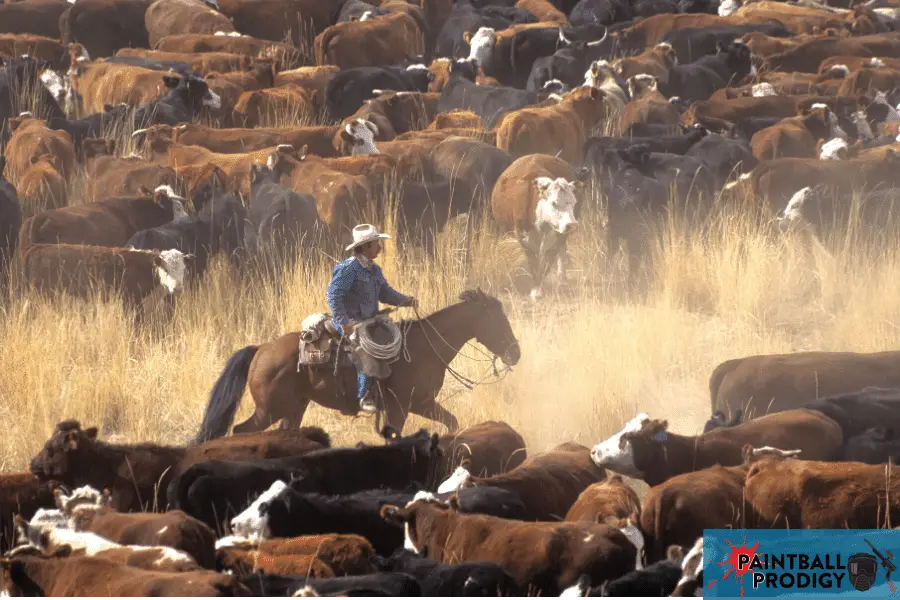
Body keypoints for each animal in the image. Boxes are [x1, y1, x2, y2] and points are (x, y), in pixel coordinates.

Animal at [196, 288, 520, 442]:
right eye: (498, 320)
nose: (515, 353)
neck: (424, 348)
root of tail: (261, 349)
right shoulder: (402, 406)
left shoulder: (422, 403)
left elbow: (452, 422)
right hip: (269, 410)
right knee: (240, 430)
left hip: (293, 408)